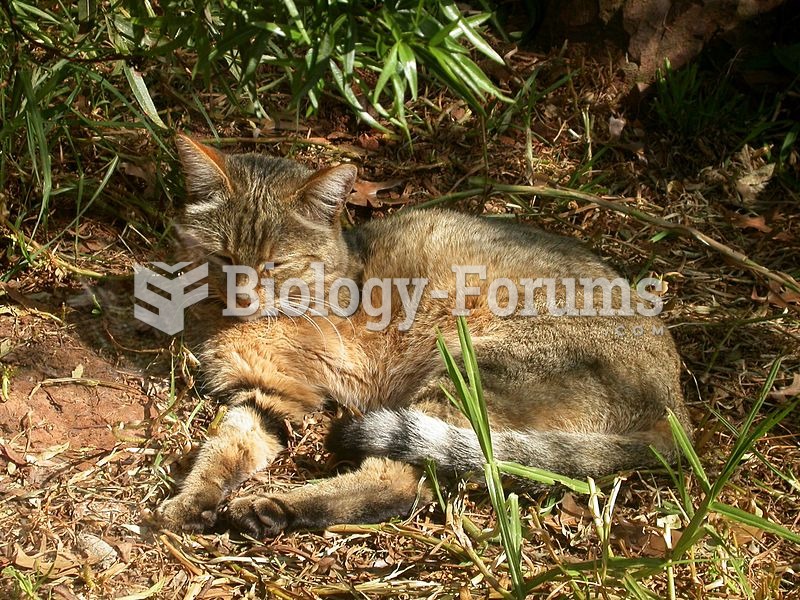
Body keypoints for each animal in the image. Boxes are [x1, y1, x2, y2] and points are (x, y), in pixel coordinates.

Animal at [153, 134, 692, 536]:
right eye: (222, 257)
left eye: (276, 264)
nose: (243, 296)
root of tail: (676, 410)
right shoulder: (268, 393)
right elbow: (223, 447)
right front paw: (190, 500)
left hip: (467, 369)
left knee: (403, 478)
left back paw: (274, 507)